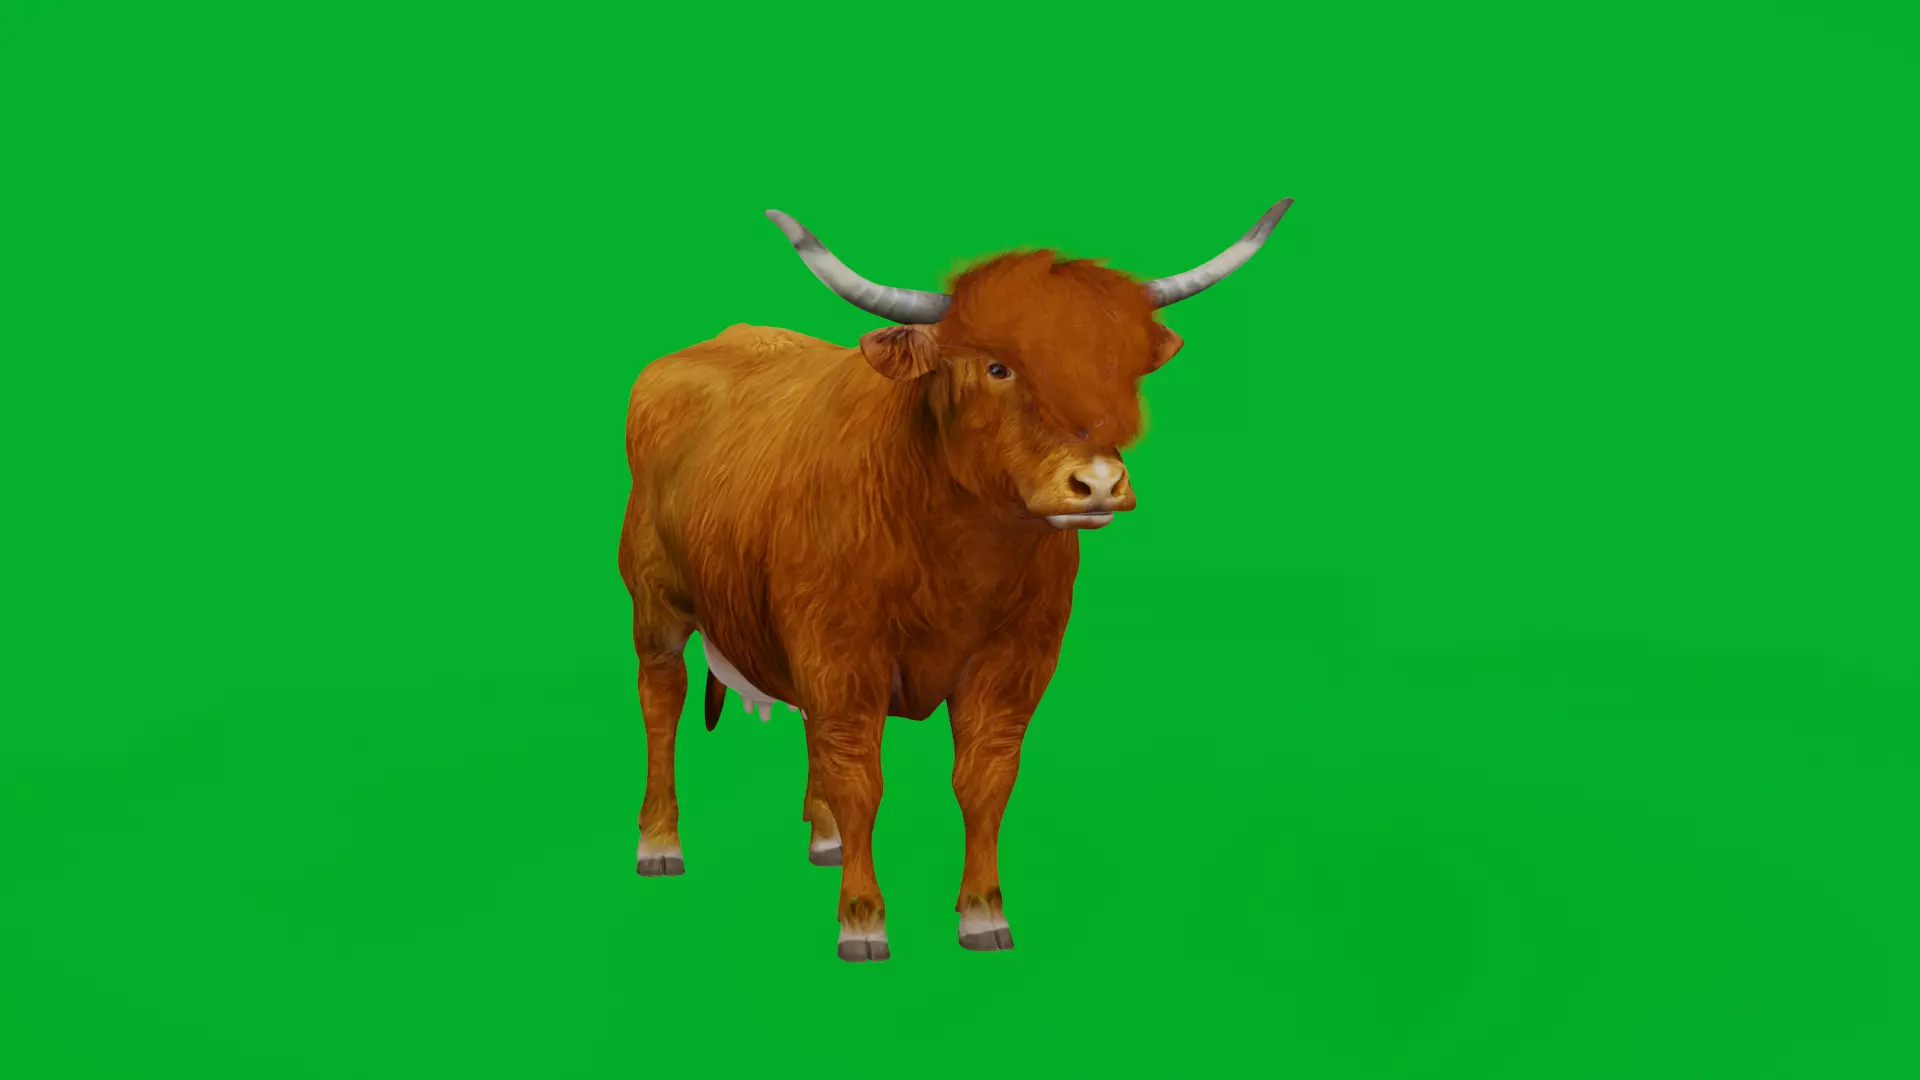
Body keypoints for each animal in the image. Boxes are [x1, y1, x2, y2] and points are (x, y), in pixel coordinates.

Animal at [618, 200, 1293, 961]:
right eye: (998, 367)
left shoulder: (1015, 660)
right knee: (662, 703)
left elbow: (984, 778)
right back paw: (660, 843)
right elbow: (860, 777)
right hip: (656, 604)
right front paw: (862, 918)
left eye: (1123, 372)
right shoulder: (841, 653)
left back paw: (823, 838)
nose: (1097, 484)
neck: (960, 560)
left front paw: (983, 912)